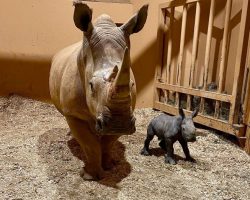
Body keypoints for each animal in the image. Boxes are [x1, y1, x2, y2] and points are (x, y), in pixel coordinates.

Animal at [49, 0, 148, 180]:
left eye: (131, 85)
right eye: (91, 85)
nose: (119, 124)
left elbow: (109, 142)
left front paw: (109, 166)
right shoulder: (73, 113)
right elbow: (90, 144)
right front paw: (91, 176)